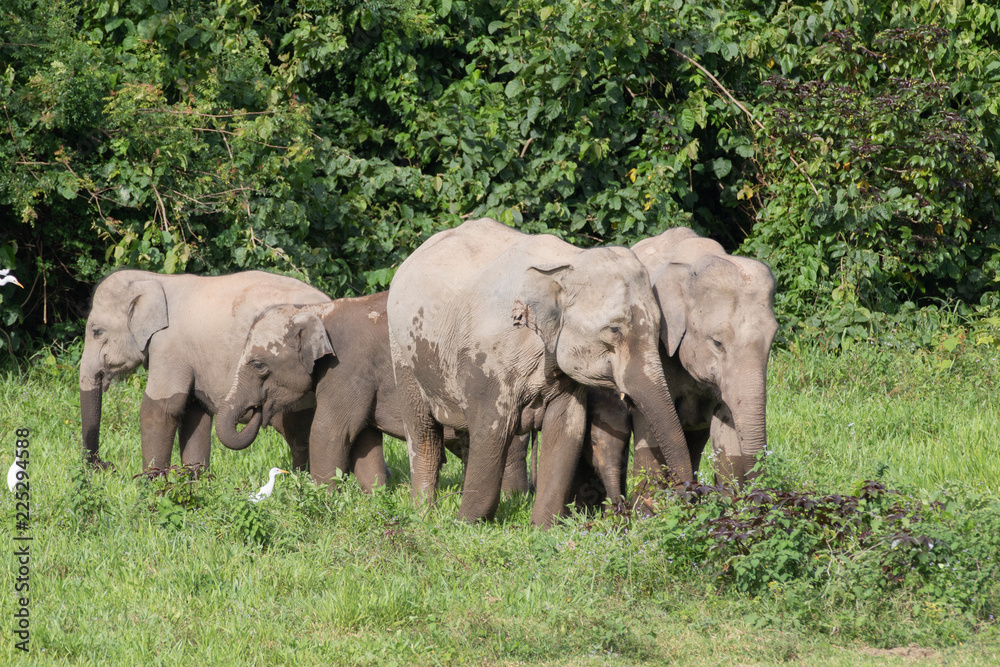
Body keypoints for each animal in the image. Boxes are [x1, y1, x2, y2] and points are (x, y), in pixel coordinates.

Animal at [79, 269, 328, 471]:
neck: (155, 279)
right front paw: (194, 480)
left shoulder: (170, 346)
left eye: (97, 331)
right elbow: (194, 411)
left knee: (297, 429)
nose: (106, 465)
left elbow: (162, 408)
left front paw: (151, 486)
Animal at [214, 292, 531, 493]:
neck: (313, 309)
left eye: (258, 365)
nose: (257, 410)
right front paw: (375, 496)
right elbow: (363, 439)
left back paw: (512, 500)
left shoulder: (347, 368)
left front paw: (321, 498)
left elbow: (330, 430)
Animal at [386, 217, 692, 528]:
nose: (688, 497)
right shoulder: (488, 357)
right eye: (614, 330)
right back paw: (423, 515)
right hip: (403, 353)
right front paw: (466, 525)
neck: (567, 263)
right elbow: (492, 431)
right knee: (424, 435)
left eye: (659, 328)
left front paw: (543, 528)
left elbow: (566, 427)